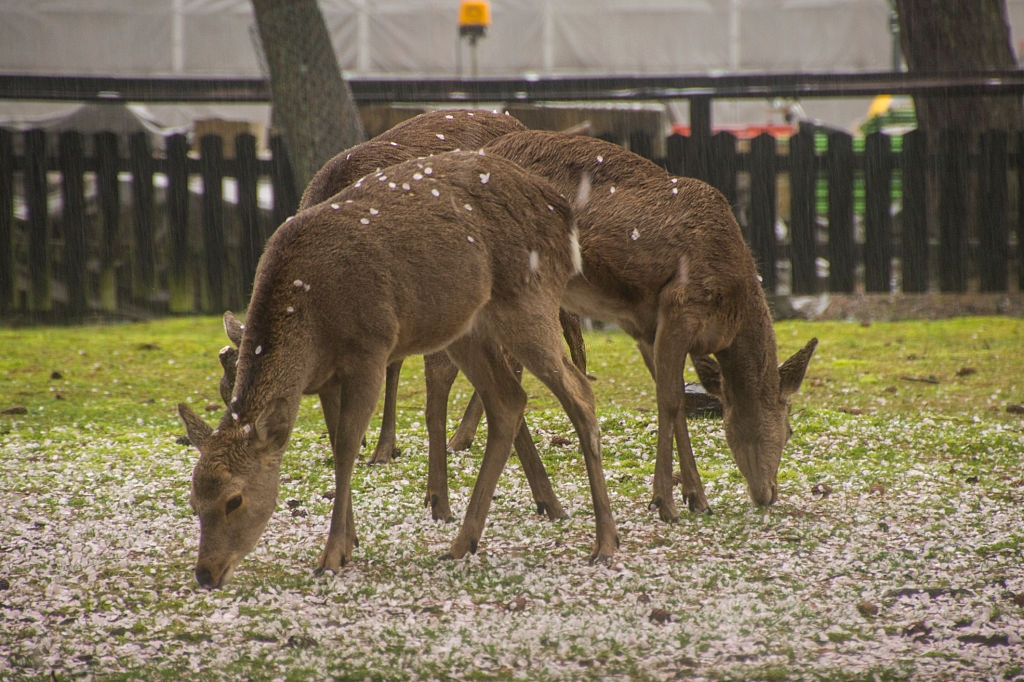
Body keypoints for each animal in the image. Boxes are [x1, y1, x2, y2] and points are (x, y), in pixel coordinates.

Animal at [176, 151, 614, 585]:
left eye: (235, 499)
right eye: (195, 502)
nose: (206, 573)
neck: (310, 321)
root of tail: (564, 213)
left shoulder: (369, 350)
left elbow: (347, 448)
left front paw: (332, 555)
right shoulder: (326, 378)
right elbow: (337, 444)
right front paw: (349, 541)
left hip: (529, 300)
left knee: (580, 392)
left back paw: (605, 544)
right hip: (468, 327)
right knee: (508, 400)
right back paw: (462, 543)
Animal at [430, 129, 815, 520]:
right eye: (788, 429)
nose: (769, 493)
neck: (730, 318)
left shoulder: (646, 327)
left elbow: (674, 397)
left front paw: (695, 497)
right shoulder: (681, 307)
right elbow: (669, 401)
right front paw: (665, 501)